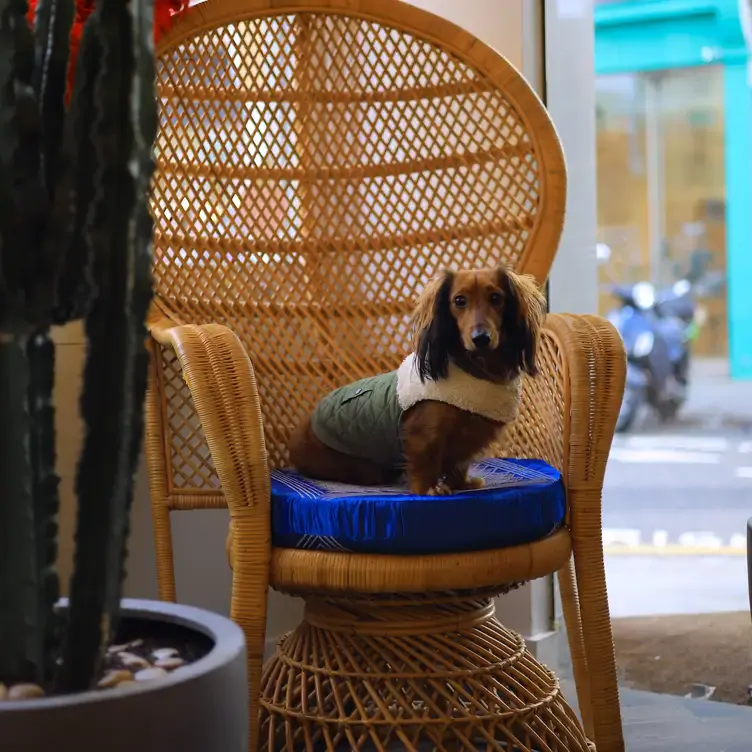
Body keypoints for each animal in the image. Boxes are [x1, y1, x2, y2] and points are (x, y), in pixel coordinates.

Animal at [288, 268, 548, 496]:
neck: (475, 368)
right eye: (459, 300)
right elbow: (426, 458)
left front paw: (462, 483)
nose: (481, 338)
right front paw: (429, 488)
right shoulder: (424, 432)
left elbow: (458, 464)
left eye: (496, 298)